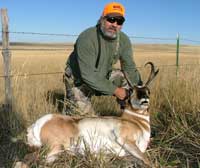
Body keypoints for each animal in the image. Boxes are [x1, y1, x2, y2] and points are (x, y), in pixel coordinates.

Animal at [25, 61, 159, 165]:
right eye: (131, 91)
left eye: (148, 91)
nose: (144, 100)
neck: (134, 121)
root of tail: (37, 124)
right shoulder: (125, 140)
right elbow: (148, 161)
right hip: (55, 150)